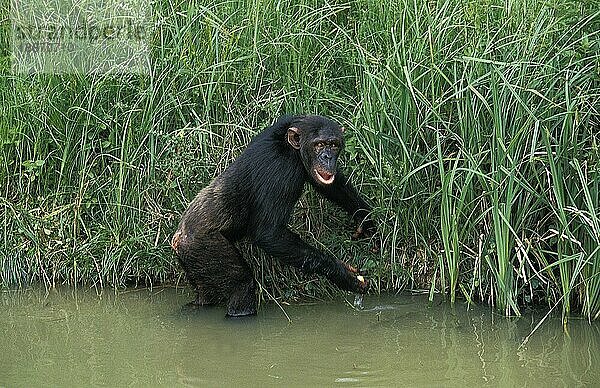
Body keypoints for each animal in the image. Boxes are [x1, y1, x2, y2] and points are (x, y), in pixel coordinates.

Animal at [171, 114, 372, 316]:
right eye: (319, 145)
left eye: (334, 144)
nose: (327, 157)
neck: (291, 149)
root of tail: (178, 239)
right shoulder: (280, 170)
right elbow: (269, 232)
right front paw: (344, 275)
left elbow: (330, 185)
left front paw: (366, 221)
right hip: (205, 248)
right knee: (242, 285)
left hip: (195, 263)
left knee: (205, 294)